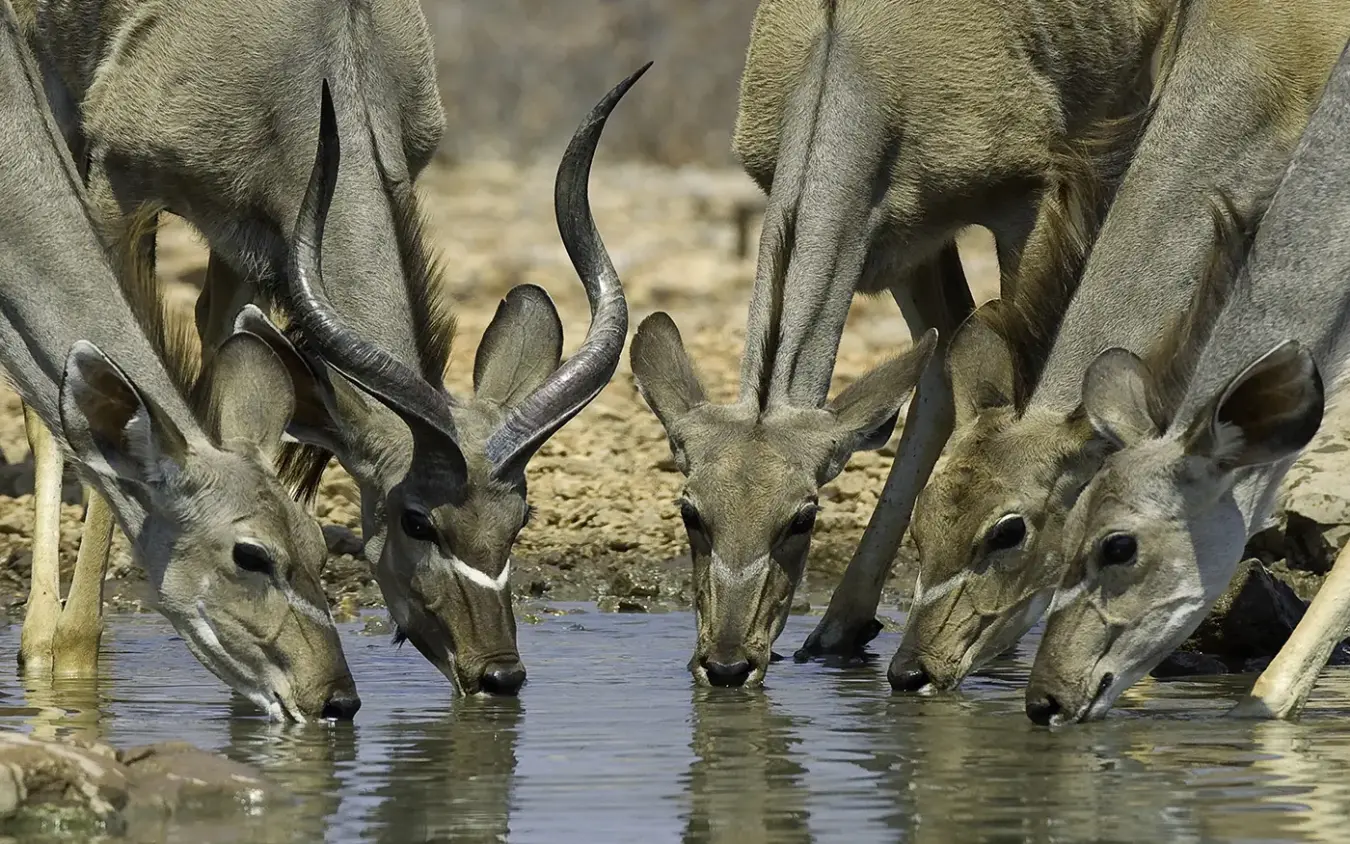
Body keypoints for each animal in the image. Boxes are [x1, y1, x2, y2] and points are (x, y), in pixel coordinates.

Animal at [630, 0, 1173, 686]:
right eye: (691, 512)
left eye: (803, 518)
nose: (727, 663)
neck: (850, 52)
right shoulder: (903, 242)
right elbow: (940, 368)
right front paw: (838, 629)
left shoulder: (1026, 198)